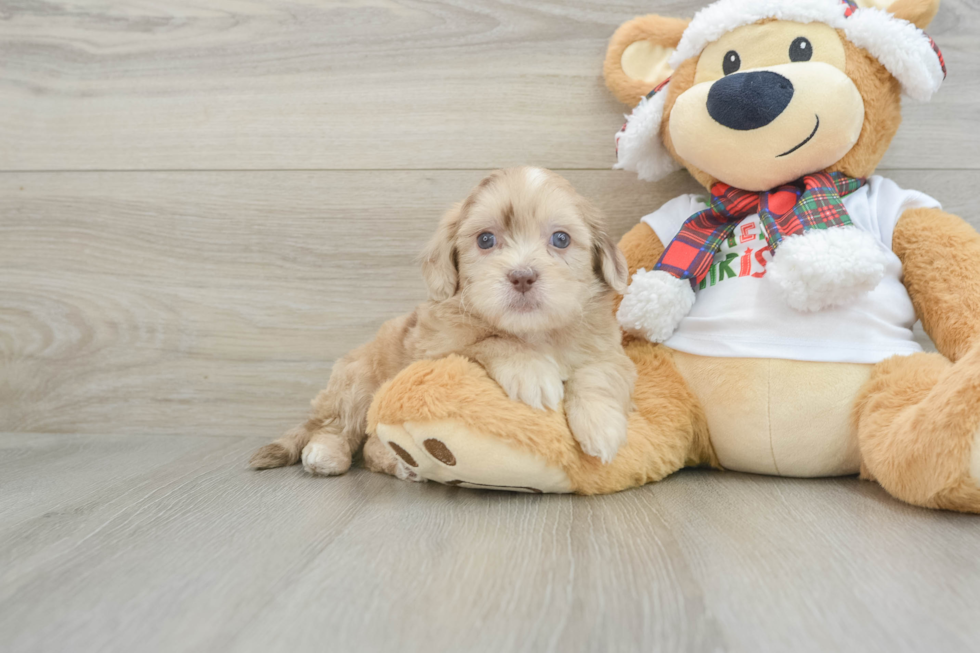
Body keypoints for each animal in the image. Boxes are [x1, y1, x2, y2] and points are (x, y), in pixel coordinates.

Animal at [249, 166, 640, 476]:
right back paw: (327, 452)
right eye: (486, 239)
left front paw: (601, 425)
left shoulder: (610, 351)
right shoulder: (432, 355)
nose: (522, 276)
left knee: (372, 448)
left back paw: (401, 465)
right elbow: (490, 340)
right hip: (357, 380)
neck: (533, 332)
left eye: (561, 238)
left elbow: (600, 373)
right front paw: (531, 370)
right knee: (343, 428)